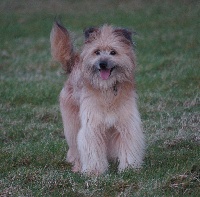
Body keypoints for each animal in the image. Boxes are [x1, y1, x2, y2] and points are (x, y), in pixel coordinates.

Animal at [49, 23, 144, 175]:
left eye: (113, 52)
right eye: (97, 52)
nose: (103, 64)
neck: (107, 89)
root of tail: (76, 63)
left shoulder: (126, 123)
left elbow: (128, 145)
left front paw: (129, 167)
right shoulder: (92, 125)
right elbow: (91, 148)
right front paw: (94, 171)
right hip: (72, 123)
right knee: (75, 147)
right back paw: (77, 165)